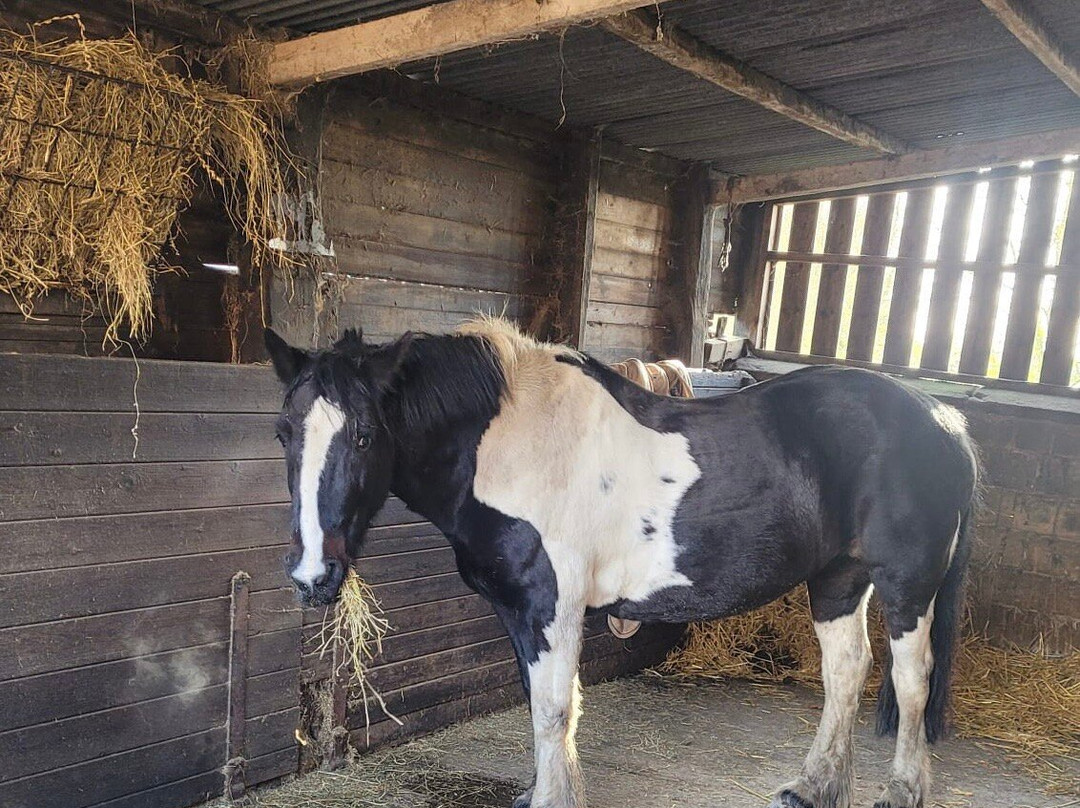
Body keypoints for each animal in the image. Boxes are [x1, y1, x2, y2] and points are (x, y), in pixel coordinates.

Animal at [264, 317, 978, 808]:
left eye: (364, 435)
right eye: (284, 432)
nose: (311, 577)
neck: (505, 443)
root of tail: (943, 418)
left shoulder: (550, 606)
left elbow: (555, 709)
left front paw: (552, 799)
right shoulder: (519, 613)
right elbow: (538, 703)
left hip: (907, 587)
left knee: (910, 681)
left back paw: (901, 791)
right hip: (837, 579)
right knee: (846, 671)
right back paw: (813, 787)